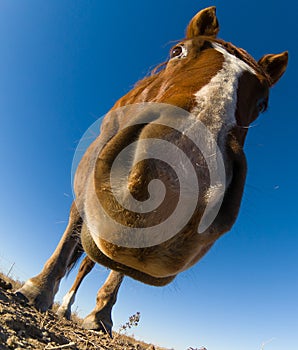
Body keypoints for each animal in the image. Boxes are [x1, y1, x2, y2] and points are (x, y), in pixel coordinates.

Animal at [16, 4, 286, 334]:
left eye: (262, 104)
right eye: (177, 51)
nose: (177, 184)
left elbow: (116, 266)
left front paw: (101, 315)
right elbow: (72, 230)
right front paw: (38, 289)